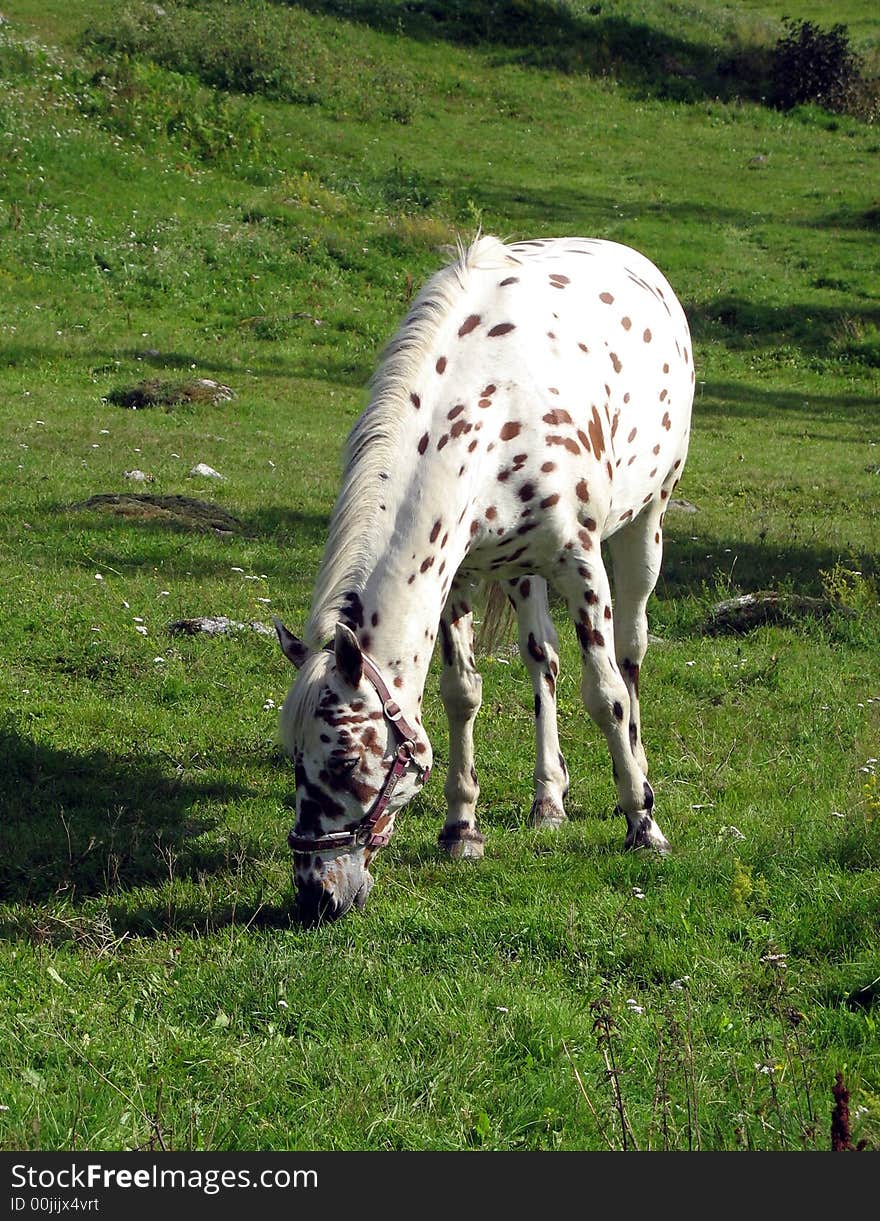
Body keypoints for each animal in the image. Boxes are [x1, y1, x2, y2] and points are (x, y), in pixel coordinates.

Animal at [274, 233, 693, 923]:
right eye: (294, 756)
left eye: (346, 757)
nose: (317, 895)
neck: (491, 406)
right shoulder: (458, 575)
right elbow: (460, 694)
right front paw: (461, 829)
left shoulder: (581, 563)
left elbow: (604, 694)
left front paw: (643, 824)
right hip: (521, 571)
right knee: (542, 658)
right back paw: (548, 798)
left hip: (644, 528)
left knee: (630, 657)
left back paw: (638, 774)